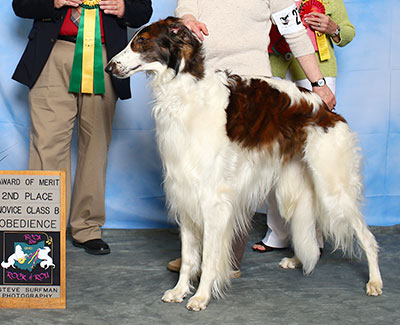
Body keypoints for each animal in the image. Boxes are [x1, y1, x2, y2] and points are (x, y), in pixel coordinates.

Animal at [104, 17, 382, 308]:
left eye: (141, 41)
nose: (108, 67)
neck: (186, 92)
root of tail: (326, 109)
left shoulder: (212, 199)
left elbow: (209, 257)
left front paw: (201, 296)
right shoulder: (184, 191)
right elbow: (189, 257)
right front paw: (179, 290)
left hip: (332, 186)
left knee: (368, 238)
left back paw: (374, 282)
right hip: (295, 187)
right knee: (306, 226)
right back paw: (298, 259)